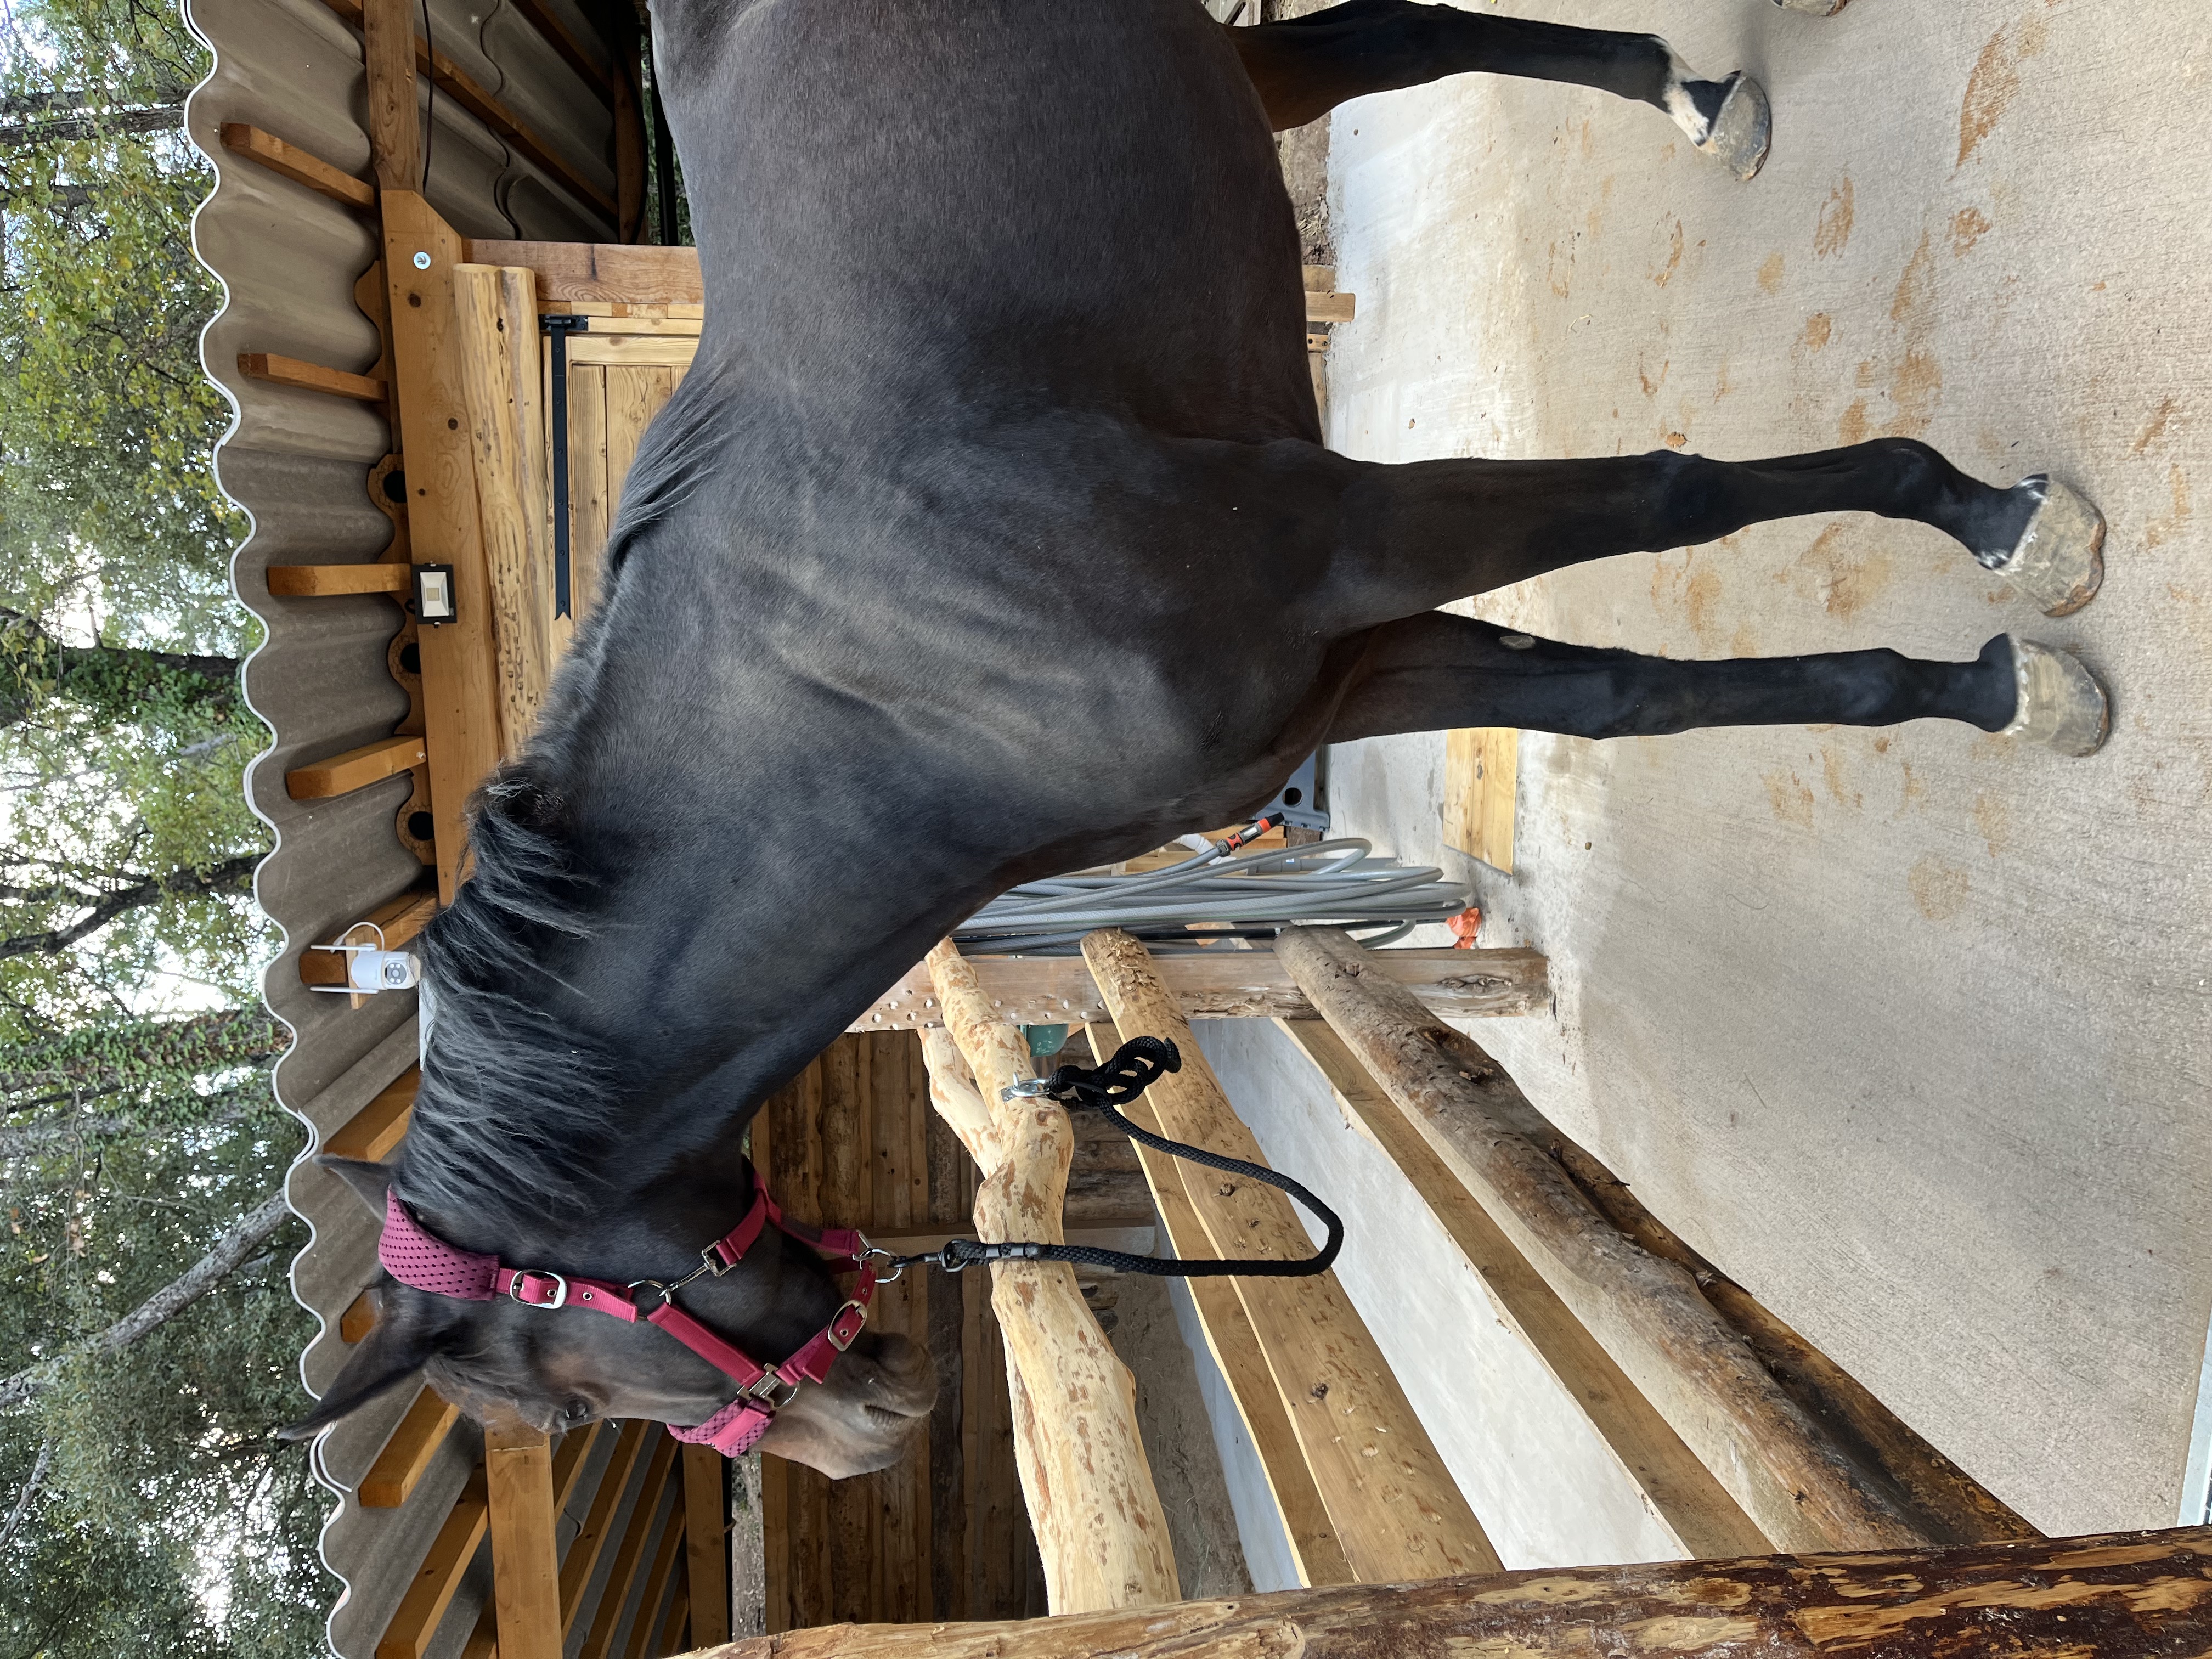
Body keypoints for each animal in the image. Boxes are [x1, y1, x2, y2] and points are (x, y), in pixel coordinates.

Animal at [288, 0, 2108, 1480]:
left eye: (578, 1382)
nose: (872, 1425)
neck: (891, 680)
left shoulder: (1346, 544)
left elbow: (1676, 496)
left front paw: (2007, 532)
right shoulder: (1340, 671)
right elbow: (1626, 696)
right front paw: (1995, 679)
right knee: (1391, 34)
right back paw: (1695, 99)